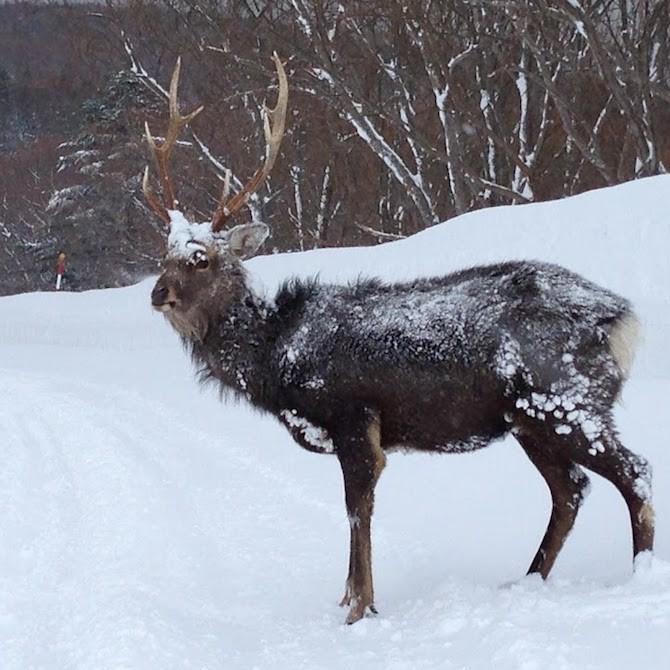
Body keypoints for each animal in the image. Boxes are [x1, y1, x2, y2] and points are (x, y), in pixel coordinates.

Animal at [143, 55, 656, 628]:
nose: (158, 293)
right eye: (164, 254)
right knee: (571, 490)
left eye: (201, 258)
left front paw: (358, 609)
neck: (275, 359)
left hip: (565, 399)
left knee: (634, 472)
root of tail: (622, 319)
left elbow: (357, 511)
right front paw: (348, 599)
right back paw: (526, 581)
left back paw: (639, 575)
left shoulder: (353, 416)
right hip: (530, 418)